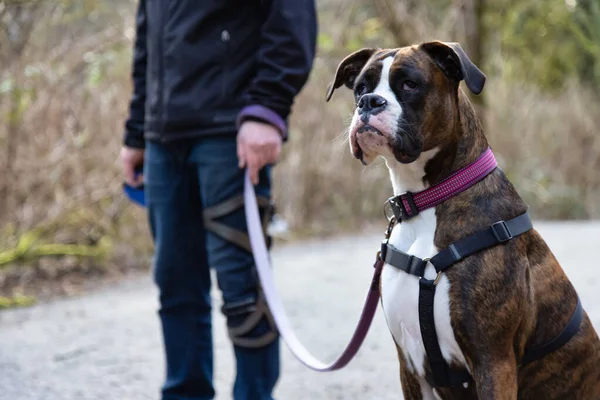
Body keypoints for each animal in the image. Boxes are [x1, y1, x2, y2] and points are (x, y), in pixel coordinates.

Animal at [326, 42, 600, 398]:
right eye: (360, 87)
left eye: (409, 84)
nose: (369, 102)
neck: (425, 201)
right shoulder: (410, 367)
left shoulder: (493, 362)